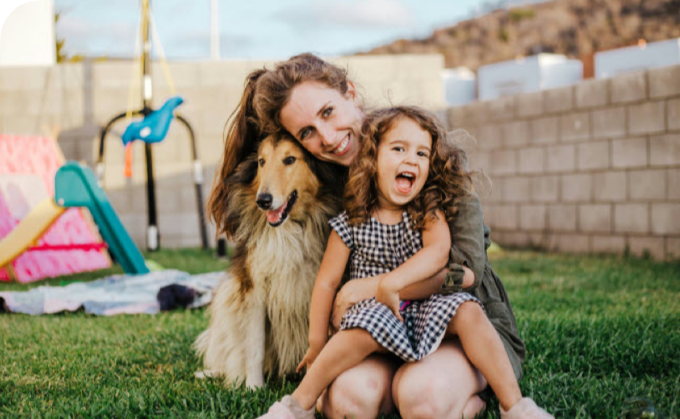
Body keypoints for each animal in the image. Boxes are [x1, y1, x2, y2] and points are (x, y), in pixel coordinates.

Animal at [195, 134, 346, 388]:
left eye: (290, 159)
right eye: (261, 161)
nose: (263, 201)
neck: (287, 231)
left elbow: (316, 343)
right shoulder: (254, 290)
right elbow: (254, 346)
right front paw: (253, 388)